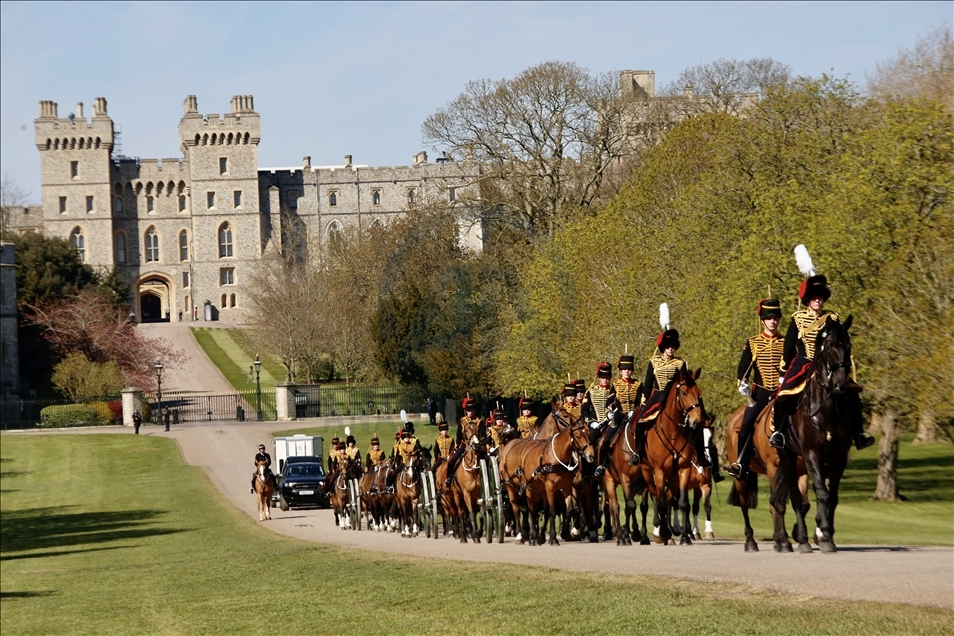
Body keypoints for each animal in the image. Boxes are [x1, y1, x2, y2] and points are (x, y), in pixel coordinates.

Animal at [640, 368, 708, 548]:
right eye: (683, 392)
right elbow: (660, 501)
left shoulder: (683, 470)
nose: (697, 422)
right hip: (647, 470)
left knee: (669, 498)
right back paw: (658, 532)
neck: (673, 432)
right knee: (655, 496)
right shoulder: (659, 471)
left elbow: (683, 503)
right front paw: (663, 531)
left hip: (673, 477)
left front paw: (684, 537)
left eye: (699, 393)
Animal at [772, 316, 856, 552]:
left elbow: (831, 496)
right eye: (829, 346)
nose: (840, 384)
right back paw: (801, 539)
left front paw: (827, 534)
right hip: (788, 456)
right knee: (794, 496)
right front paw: (823, 533)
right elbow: (820, 491)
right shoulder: (811, 453)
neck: (826, 410)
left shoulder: (838, 457)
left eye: (849, 345)